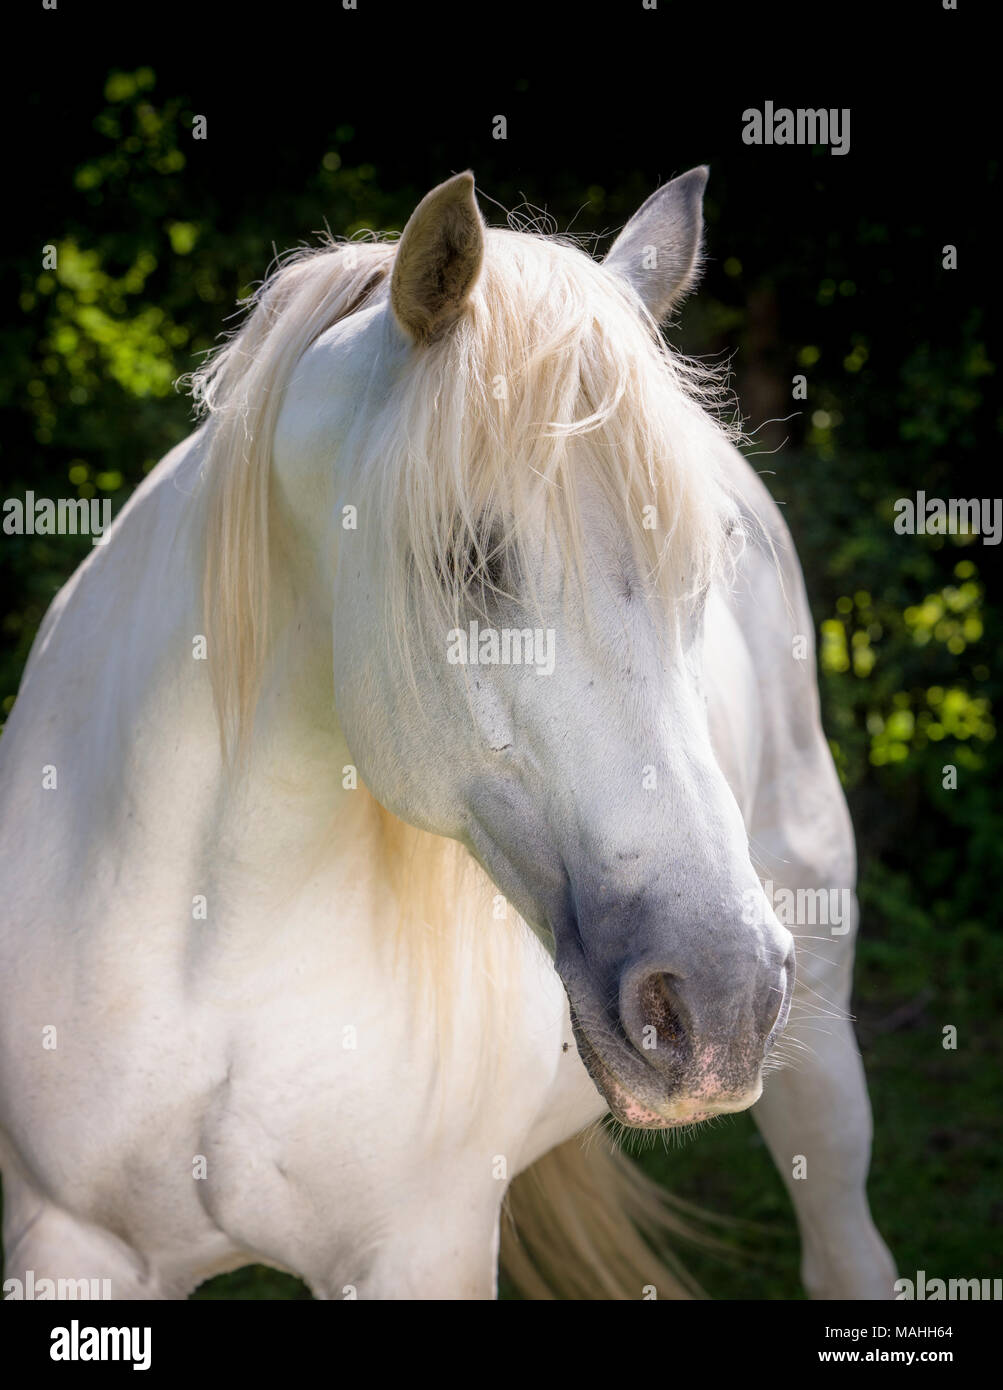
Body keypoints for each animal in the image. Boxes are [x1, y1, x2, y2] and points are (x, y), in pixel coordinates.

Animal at [0, 170, 889, 1289]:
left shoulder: (419, 1253)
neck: (209, 945)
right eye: (468, 556)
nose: (719, 1000)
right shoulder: (66, 1240)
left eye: (712, 556)